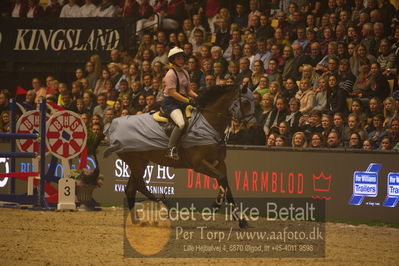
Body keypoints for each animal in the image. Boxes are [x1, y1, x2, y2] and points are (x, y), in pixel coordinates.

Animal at [105, 84, 250, 227]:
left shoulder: (219, 163)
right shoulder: (199, 164)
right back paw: (161, 204)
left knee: (131, 188)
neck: (208, 126)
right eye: (246, 103)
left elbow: (225, 183)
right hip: (136, 162)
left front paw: (241, 219)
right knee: (138, 185)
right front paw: (216, 205)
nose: (247, 124)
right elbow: (222, 179)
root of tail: (113, 126)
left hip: (141, 162)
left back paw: (138, 220)